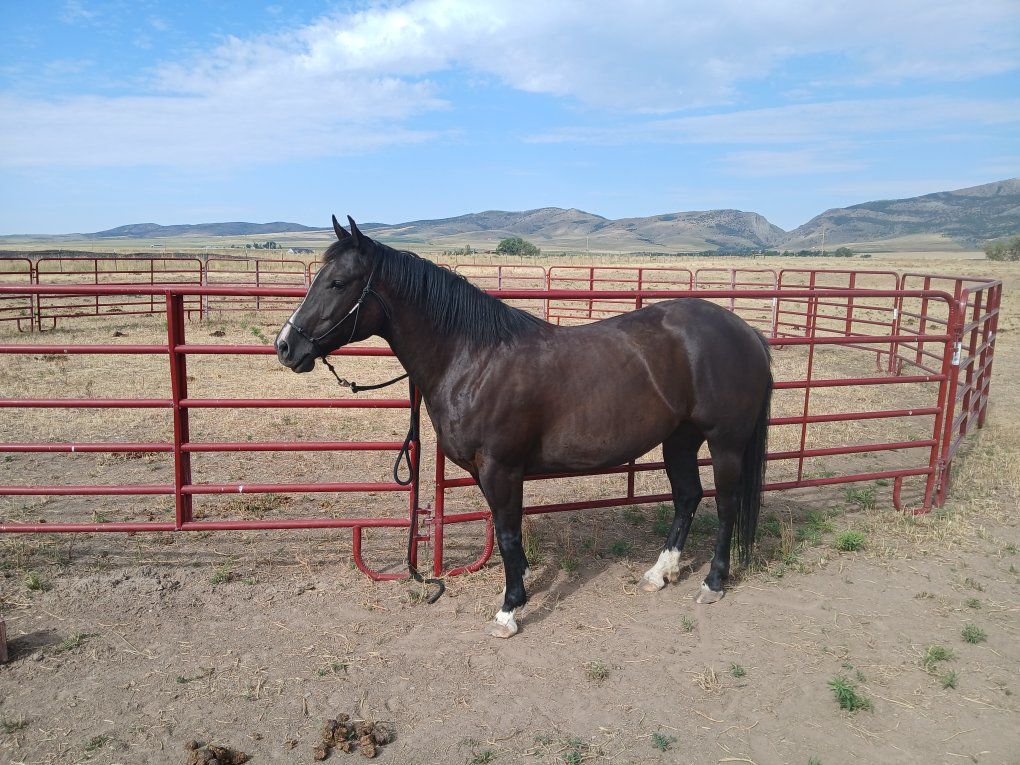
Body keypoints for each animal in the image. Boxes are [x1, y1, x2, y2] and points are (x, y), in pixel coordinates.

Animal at [276, 216, 773, 638]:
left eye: (337, 282)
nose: (286, 346)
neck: (473, 358)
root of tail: (745, 331)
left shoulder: (502, 468)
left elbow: (508, 532)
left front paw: (509, 609)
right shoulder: (487, 471)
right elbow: (506, 535)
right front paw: (521, 585)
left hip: (725, 443)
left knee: (725, 505)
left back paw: (712, 583)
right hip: (679, 439)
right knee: (687, 497)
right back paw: (659, 573)